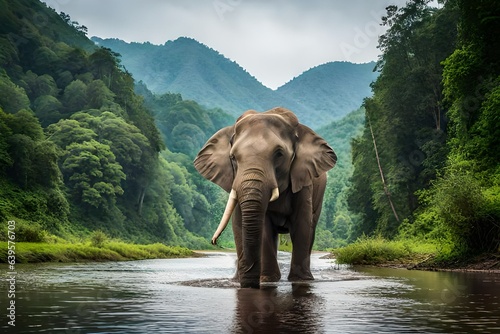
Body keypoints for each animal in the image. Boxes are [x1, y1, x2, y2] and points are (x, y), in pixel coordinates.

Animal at [194, 106, 336, 288]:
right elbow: (264, 227)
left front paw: (300, 281)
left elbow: (302, 224)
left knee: (311, 228)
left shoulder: (304, 180)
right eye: (232, 157)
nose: (214, 242)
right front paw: (268, 280)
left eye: (279, 154)